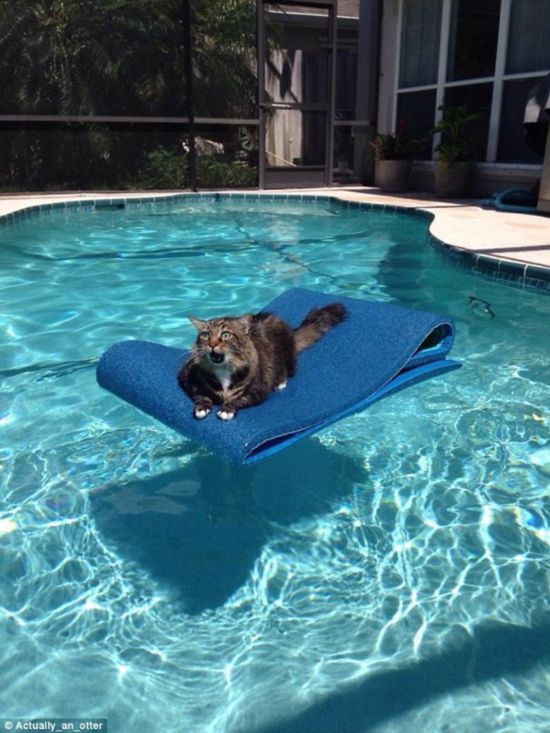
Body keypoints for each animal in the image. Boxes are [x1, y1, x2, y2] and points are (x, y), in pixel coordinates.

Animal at [179, 302, 348, 418]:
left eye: (226, 335)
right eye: (205, 335)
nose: (212, 344)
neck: (223, 369)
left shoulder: (258, 391)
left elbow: (238, 399)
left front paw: (226, 409)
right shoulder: (187, 378)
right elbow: (201, 395)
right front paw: (202, 407)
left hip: (285, 353)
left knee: (287, 368)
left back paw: (280, 382)